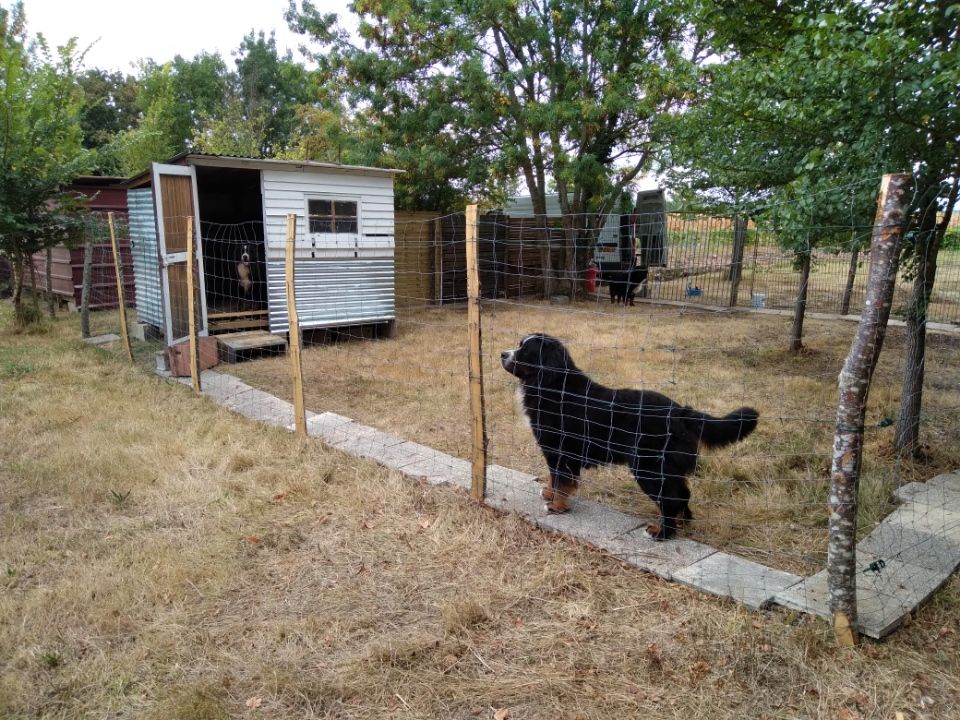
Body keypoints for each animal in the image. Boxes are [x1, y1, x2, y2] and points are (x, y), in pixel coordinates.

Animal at [502, 334, 756, 536]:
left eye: (525, 350)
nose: (502, 353)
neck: (553, 385)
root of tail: (678, 411)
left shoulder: (559, 450)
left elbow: (560, 480)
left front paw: (556, 506)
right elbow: (555, 479)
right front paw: (549, 494)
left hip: (648, 466)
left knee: (671, 498)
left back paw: (661, 532)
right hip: (665, 467)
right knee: (683, 494)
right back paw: (681, 523)